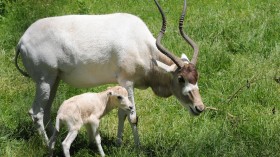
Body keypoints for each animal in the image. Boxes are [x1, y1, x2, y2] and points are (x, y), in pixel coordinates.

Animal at [14, 0, 203, 145]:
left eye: (196, 77)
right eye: (181, 78)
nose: (199, 108)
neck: (142, 45)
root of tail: (22, 41)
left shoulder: (122, 85)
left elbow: (122, 113)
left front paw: (119, 143)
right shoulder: (127, 82)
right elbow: (133, 117)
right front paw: (138, 147)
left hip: (54, 79)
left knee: (46, 111)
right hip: (44, 81)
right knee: (36, 113)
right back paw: (46, 144)